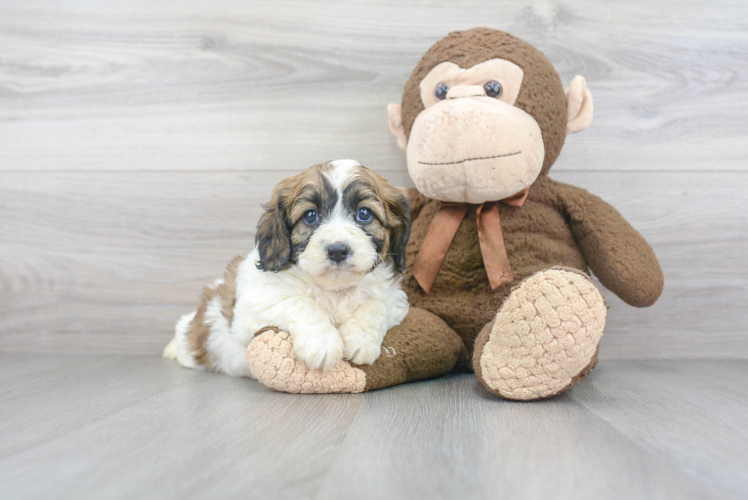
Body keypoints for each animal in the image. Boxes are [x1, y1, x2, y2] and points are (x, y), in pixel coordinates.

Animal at [164, 159, 412, 376]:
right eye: (310, 215)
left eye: (364, 213)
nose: (337, 250)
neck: (334, 289)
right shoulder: (252, 307)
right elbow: (300, 302)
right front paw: (321, 342)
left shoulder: (395, 299)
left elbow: (377, 304)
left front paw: (360, 338)